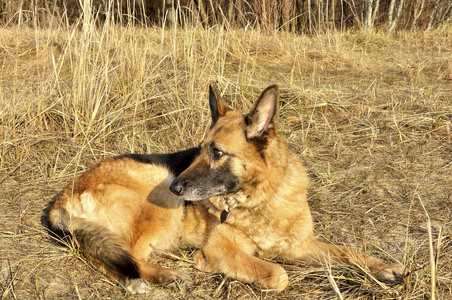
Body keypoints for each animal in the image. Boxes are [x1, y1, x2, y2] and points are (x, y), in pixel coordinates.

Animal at [46, 84, 406, 292]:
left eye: (217, 152)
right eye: (200, 149)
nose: (177, 187)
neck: (262, 199)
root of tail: (63, 196)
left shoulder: (301, 245)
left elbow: (348, 252)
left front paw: (383, 268)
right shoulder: (226, 249)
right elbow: (278, 273)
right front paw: (208, 264)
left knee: (107, 256)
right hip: (157, 189)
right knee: (126, 255)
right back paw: (164, 276)